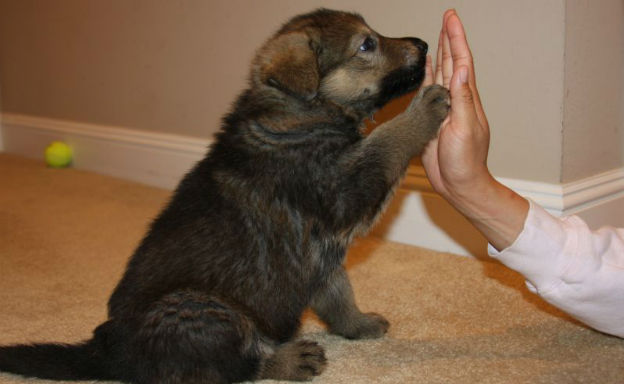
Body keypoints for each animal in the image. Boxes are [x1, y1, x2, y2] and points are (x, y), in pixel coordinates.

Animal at [0, 9, 448, 384]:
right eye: (366, 45)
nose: (424, 45)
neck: (300, 110)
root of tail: (107, 352)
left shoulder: (321, 253)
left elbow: (339, 295)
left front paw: (358, 325)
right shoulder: (343, 191)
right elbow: (386, 142)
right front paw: (424, 108)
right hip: (204, 311)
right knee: (227, 367)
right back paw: (287, 361)